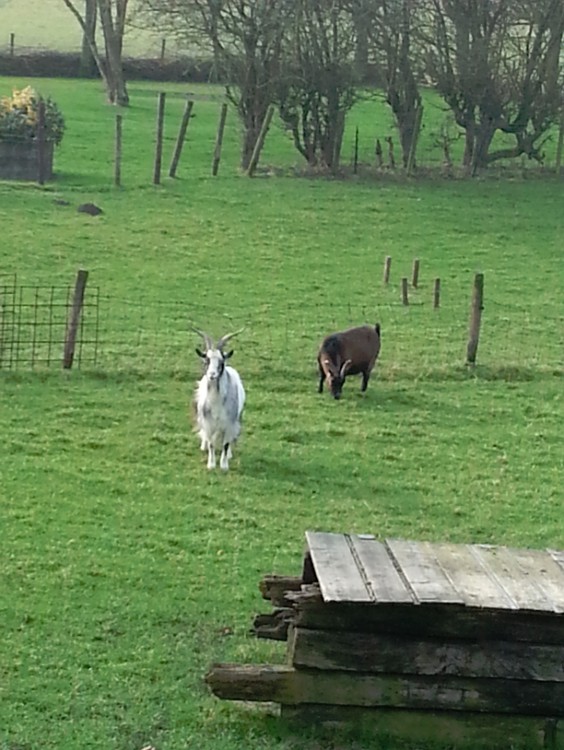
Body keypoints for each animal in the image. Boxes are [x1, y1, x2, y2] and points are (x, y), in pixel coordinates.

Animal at [192, 328, 245, 470]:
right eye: (206, 360)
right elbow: (211, 443)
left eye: (221, 362)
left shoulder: (229, 423)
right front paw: (211, 465)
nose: (212, 375)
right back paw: (203, 446)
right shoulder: (208, 422)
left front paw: (224, 465)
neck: (216, 401)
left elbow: (226, 444)